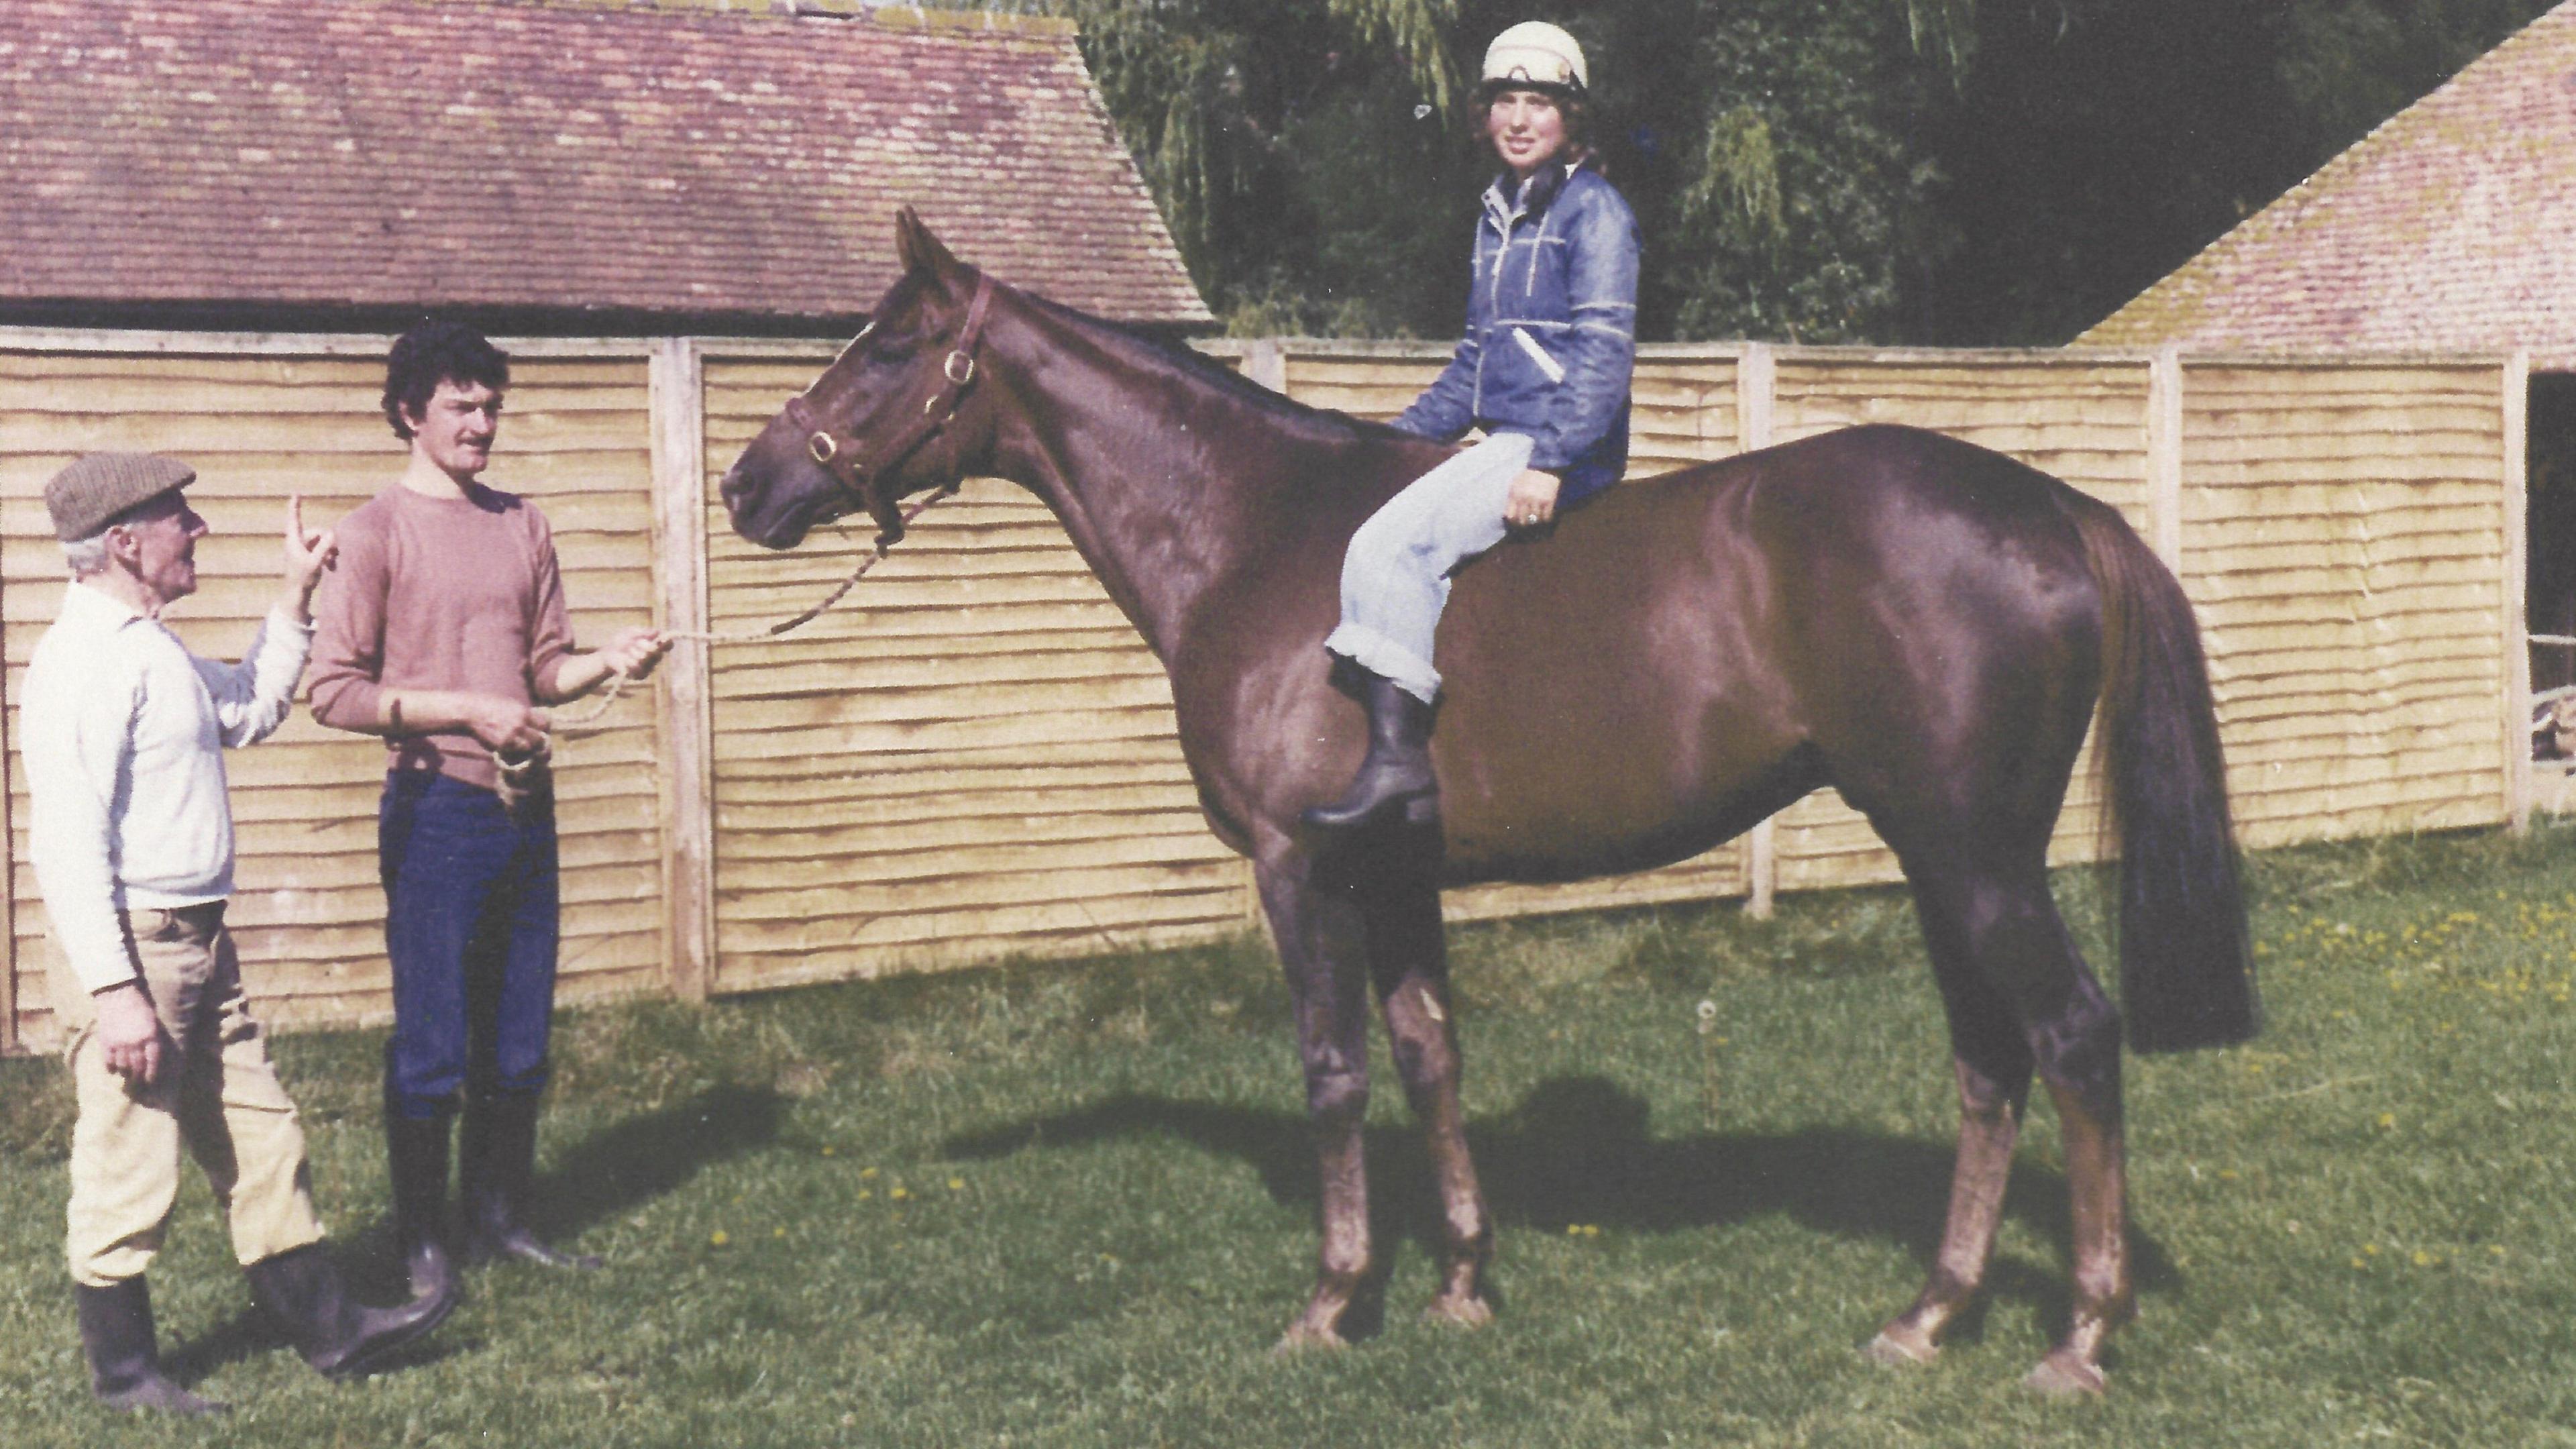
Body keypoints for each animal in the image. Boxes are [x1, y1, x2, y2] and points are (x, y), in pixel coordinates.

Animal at [726, 211, 2256, 1392]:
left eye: (886, 348)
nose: (750, 483)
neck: (1255, 533)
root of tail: (2051, 512)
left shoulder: (1300, 871)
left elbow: (1335, 1071)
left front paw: (1332, 1302)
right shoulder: (1398, 876)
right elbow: (1429, 1055)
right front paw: (1460, 1282)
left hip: (1976, 859)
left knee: (2074, 1039)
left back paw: (2079, 1338)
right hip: (1942, 861)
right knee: (1991, 1063)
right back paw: (1930, 1316)